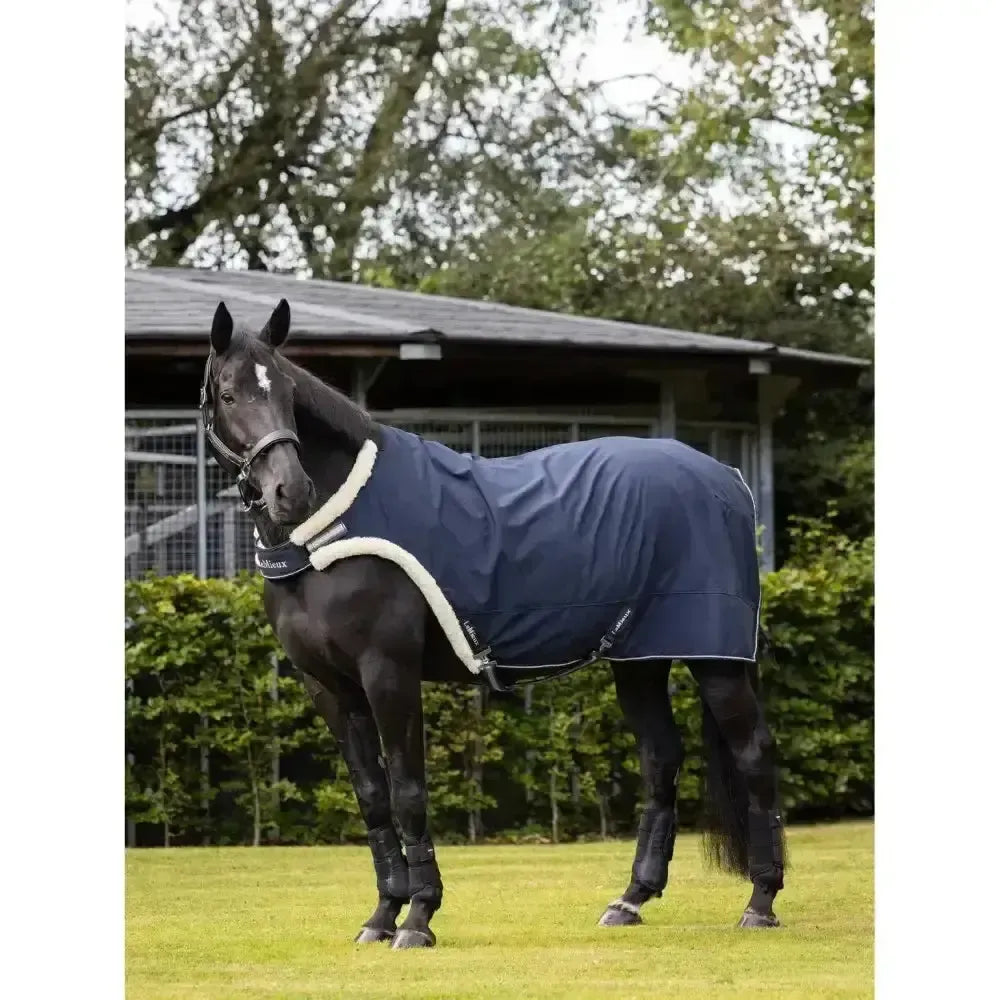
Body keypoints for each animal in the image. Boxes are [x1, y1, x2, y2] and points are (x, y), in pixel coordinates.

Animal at [199, 297, 787, 949]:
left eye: (286, 391)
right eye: (229, 395)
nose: (290, 490)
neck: (330, 535)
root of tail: (725, 478)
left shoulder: (387, 673)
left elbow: (408, 792)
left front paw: (419, 918)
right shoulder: (328, 686)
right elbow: (373, 798)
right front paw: (381, 916)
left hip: (715, 659)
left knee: (754, 754)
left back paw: (761, 902)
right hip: (639, 659)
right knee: (660, 758)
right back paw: (631, 899)